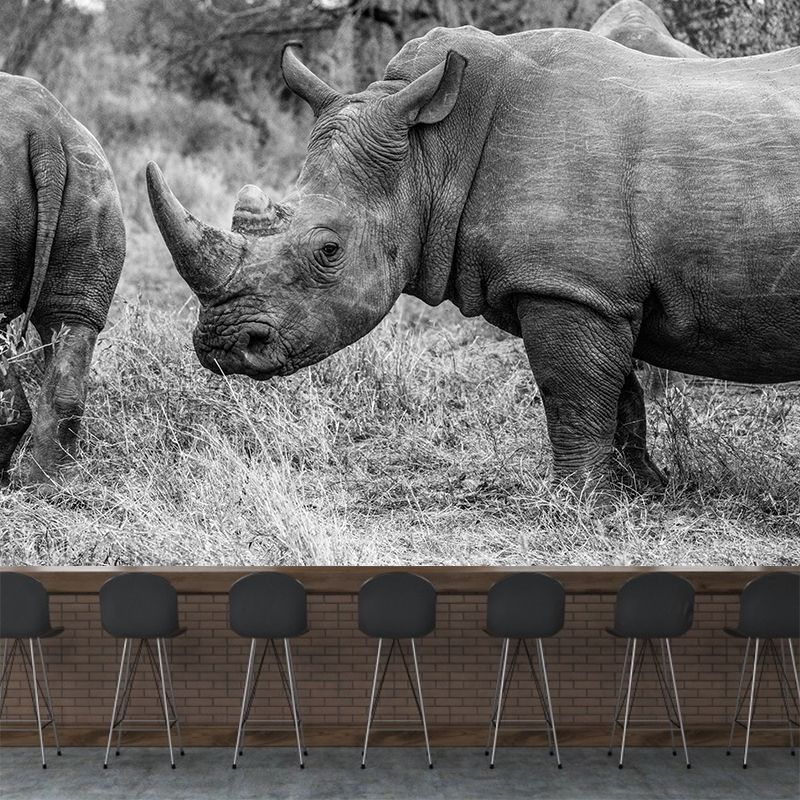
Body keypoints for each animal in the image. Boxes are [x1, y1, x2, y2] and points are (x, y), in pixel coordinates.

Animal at [147, 26, 800, 490]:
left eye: (328, 251)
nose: (224, 347)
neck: (432, 152)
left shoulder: (566, 285)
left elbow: (571, 391)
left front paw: (578, 499)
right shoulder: (594, 289)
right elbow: (619, 392)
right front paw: (644, 490)